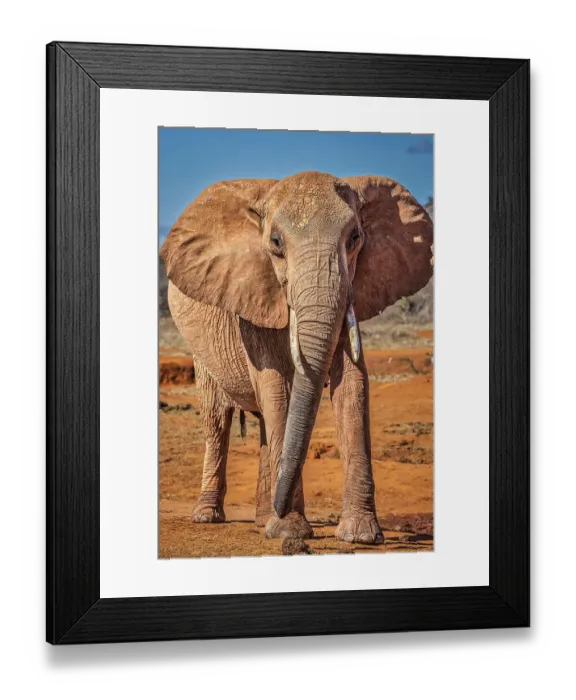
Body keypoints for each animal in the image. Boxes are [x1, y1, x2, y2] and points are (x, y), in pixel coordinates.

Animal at [160, 171, 433, 543]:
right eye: (276, 242)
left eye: (355, 238)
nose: (281, 508)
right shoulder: (253, 297)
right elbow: (278, 388)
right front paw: (291, 530)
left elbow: (353, 386)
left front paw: (360, 536)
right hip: (200, 350)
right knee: (217, 418)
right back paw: (208, 517)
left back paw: (263, 520)